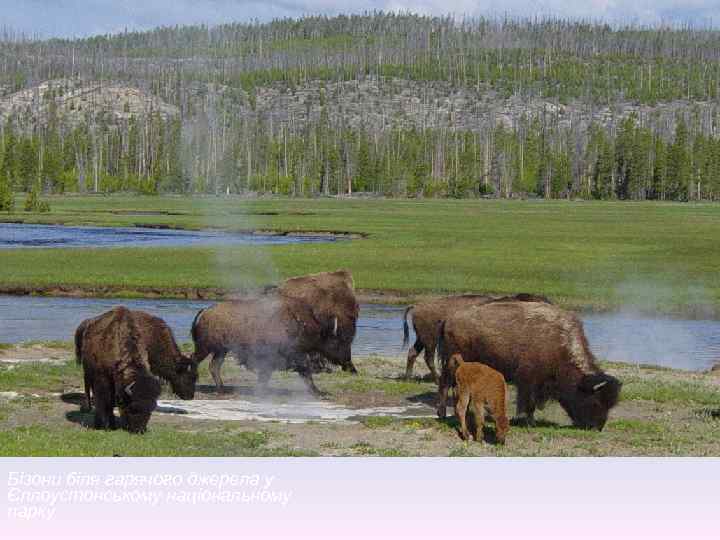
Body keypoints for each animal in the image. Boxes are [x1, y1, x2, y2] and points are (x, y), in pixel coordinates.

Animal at [191, 294, 344, 394]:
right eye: (335, 340)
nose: (344, 360)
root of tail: (205, 311)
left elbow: (305, 374)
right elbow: (303, 372)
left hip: (221, 350)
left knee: (214, 366)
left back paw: (222, 389)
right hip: (205, 348)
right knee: (195, 360)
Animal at [400, 294, 552, 382]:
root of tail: (417, 306)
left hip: (422, 339)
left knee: (413, 352)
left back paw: (409, 378)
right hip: (429, 340)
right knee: (428, 358)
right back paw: (436, 379)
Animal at [436, 302, 620, 432]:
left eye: (610, 405)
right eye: (595, 402)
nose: (597, 427)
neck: (559, 344)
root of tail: (449, 320)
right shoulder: (529, 381)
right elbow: (528, 402)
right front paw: (529, 422)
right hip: (452, 364)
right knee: (444, 384)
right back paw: (443, 414)